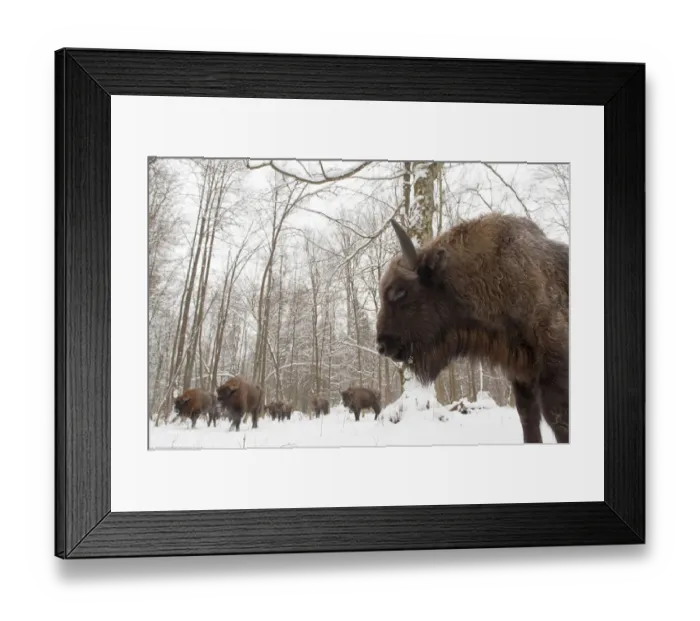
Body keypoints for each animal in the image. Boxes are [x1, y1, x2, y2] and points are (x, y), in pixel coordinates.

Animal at [376, 215, 569, 443]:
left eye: (399, 292)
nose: (381, 345)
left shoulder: (553, 370)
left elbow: (557, 420)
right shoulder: (522, 375)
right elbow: (528, 419)